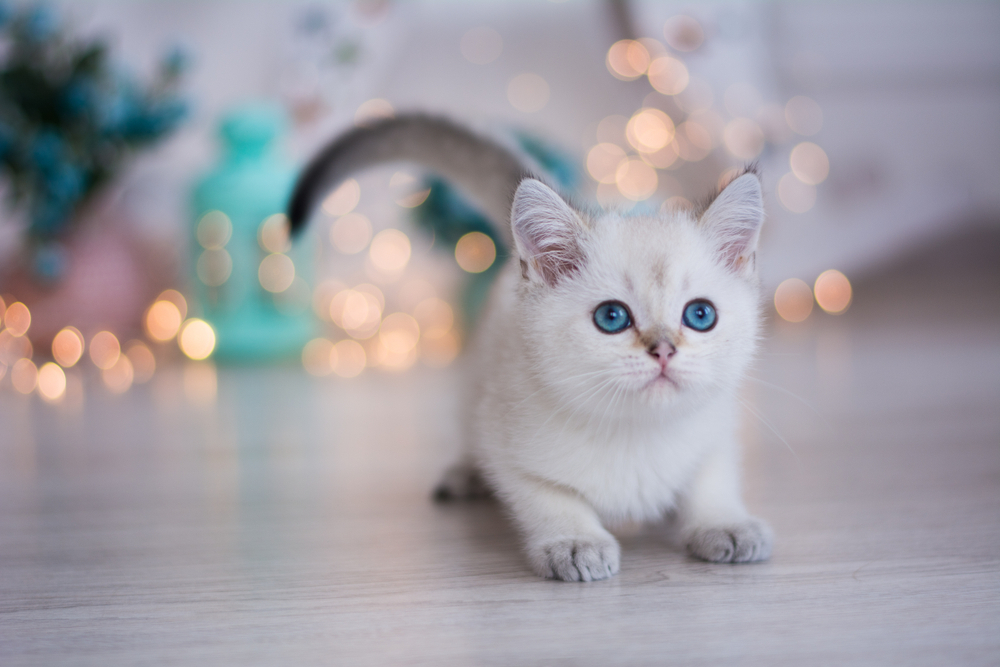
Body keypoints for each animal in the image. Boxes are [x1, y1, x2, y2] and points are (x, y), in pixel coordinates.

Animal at [290, 113, 772, 580]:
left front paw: (725, 524)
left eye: (700, 315)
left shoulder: (716, 429)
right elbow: (547, 496)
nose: (664, 350)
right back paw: (466, 475)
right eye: (611, 318)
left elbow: (710, 480)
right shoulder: (506, 441)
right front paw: (575, 542)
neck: (634, 433)